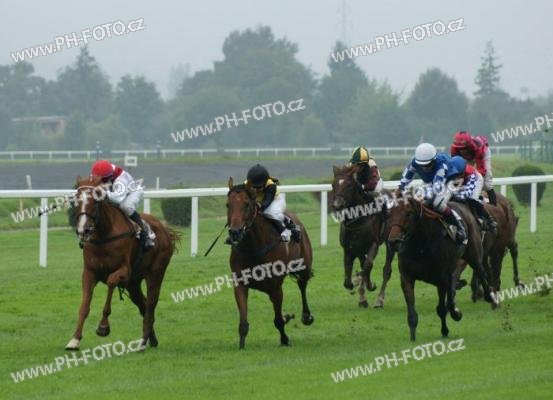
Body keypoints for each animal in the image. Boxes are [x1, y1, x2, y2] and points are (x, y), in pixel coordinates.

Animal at [65, 175, 180, 351]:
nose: (83, 231)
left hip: (155, 274)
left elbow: (111, 282)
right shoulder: (89, 273)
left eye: (95, 202)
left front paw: (103, 326)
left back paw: (143, 342)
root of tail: (164, 229)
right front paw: (75, 339)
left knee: (150, 306)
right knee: (144, 306)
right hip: (133, 284)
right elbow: (84, 306)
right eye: (76, 201)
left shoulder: (124, 271)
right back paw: (151, 339)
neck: (103, 237)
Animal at [226, 178, 314, 349]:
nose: (235, 232)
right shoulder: (240, 284)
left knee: (303, 285)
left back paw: (306, 316)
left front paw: (285, 339)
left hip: (304, 266)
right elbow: (243, 321)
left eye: (247, 204)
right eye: (228, 204)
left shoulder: (275, 288)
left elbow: (278, 320)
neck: (253, 247)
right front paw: (241, 345)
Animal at [331, 165, 396, 308]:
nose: (337, 205)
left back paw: (379, 299)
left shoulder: (373, 244)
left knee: (386, 270)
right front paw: (359, 290)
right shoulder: (349, 248)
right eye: (333, 184)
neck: (359, 219)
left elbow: (367, 266)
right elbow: (348, 275)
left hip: (391, 242)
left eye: (349, 185)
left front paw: (364, 284)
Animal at [387, 191, 495, 341]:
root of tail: (462, 203)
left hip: (474, 254)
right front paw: (413, 337)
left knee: (480, 270)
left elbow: (442, 308)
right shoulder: (406, 277)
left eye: (408, 214)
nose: (393, 242)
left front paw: (447, 327)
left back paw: (489, 296)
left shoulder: (441, 279)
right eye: (390, 213)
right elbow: (412, 311)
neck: (420, 246)